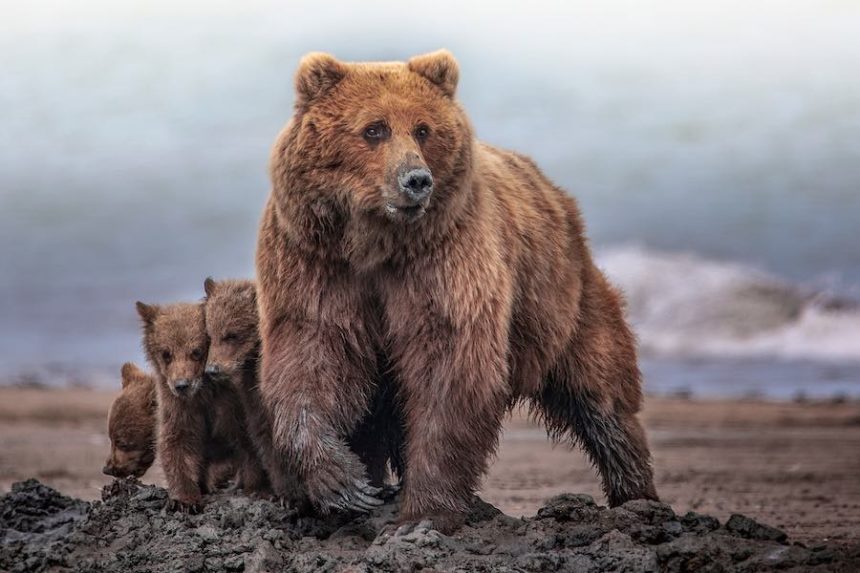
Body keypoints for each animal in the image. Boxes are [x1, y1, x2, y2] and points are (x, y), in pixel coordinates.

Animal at [136, 300, 267, 511]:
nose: (182, 385)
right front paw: (184, 500)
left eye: (196, 351)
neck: (203, 391)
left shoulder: (232, 405)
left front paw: (257, 488)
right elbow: (176, 443)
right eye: (166, 353)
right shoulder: (180, 407)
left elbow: (250, 443)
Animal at [255, 50, 658, 530]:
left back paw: (636, 496)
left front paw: (423, 513)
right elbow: (311, 357)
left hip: (562, 298)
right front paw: (345, 485)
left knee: (600, 394)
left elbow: (448, 366)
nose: (416, 179)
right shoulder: (316, 263)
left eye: (423, 129)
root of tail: (557, 194)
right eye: (374, 128)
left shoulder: (443, 260)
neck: (374, 244)